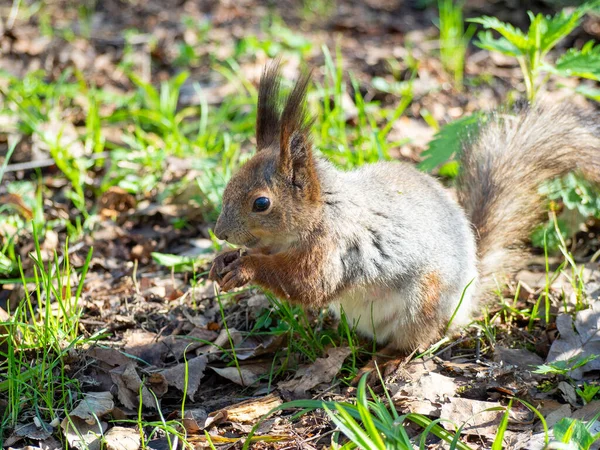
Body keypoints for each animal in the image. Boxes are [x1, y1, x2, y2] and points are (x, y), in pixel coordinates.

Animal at [207, 61, 600, 354]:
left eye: (261, 203)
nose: (220, 233)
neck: (324, 211)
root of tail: (466, 298)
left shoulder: (333, 246)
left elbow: (309, 285)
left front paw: (246, 268)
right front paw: (222, 261)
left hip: (425, 300)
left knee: (417, 342)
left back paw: (382, 364)